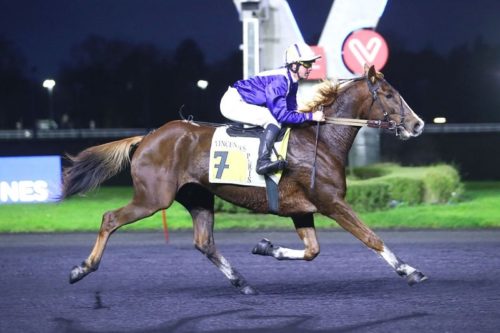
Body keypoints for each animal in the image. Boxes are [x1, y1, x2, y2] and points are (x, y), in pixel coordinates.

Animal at [63, 65, 426, 294]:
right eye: (389, 94)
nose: (418, 124)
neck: (320, 139)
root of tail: (148, 137)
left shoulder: (301, 209)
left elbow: (312, 251)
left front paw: (266, 247)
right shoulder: (331, 202)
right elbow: (370, 237)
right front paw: (409, 270)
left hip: (197, 197)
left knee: (204, 242)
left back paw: (242, 282)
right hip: (153, 198)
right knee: (110, 219)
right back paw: (82, 269)